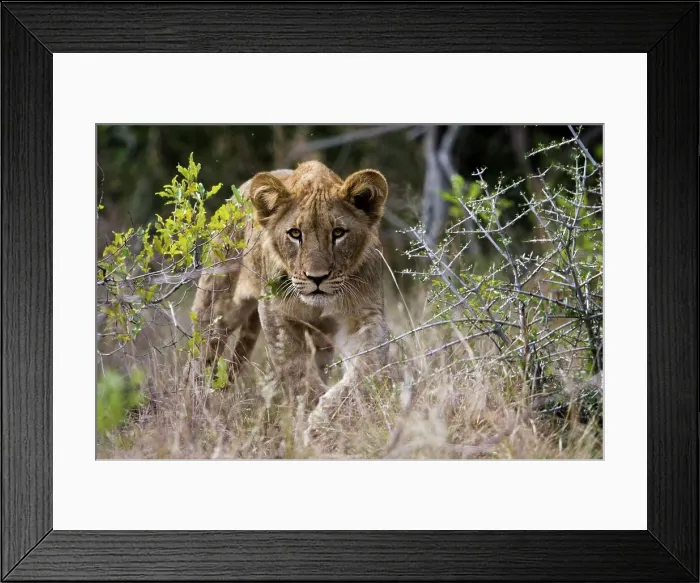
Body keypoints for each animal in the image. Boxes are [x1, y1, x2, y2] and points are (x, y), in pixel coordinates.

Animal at [189, 160, 391, 441]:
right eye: (295, 233)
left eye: (338, 233)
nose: (317, 277)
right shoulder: (275, 312)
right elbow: (297, 372)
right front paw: (311, 416)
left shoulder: (364, 316)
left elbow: (366, 368)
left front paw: (323, 418)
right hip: (216, 308)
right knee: (200, 359)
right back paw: (195, 413)